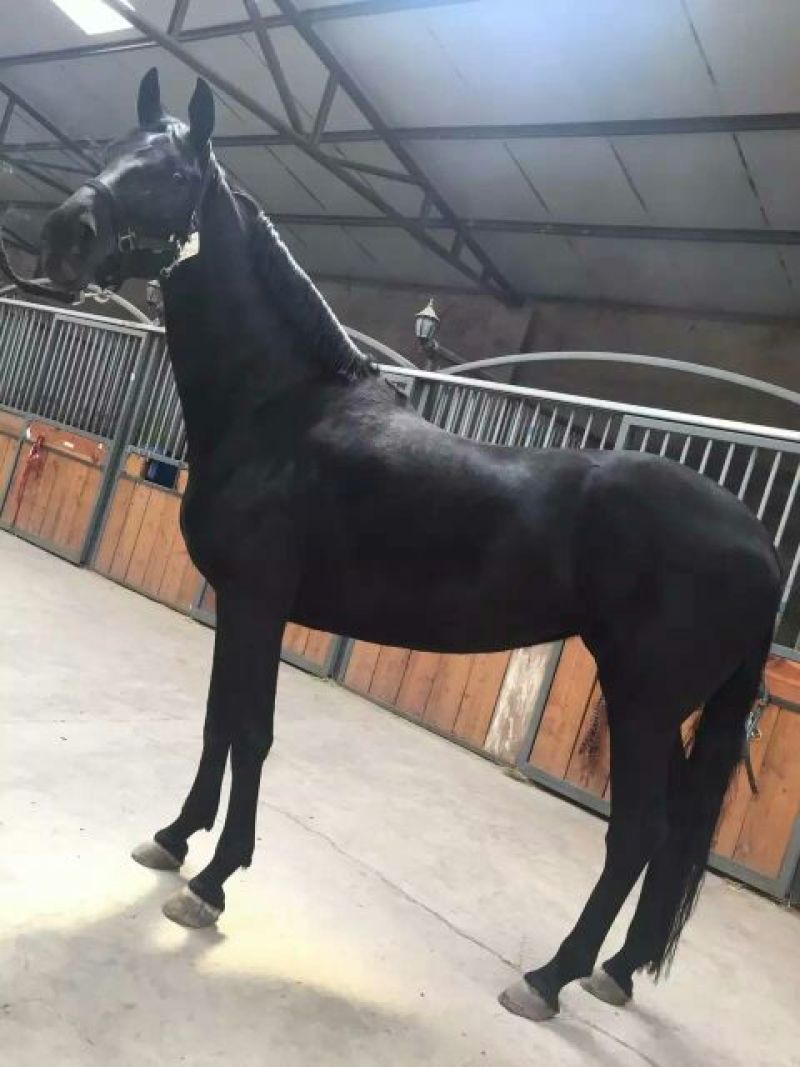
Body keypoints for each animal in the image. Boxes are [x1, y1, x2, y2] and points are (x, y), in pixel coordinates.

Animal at [27, 69, 781, 1024]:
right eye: (110, 152)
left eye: (170, 173)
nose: (63, 236)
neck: (284, 408)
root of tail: (759, 540)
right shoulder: (236, 604)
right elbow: (217, 720)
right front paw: (172, 838)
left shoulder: (259, 603)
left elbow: (252, 730)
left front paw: (213, 881)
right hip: (669, 705)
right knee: (678, 828)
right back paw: (615, 969)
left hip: (641, 697)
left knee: (640, 830)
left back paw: (549, 977)